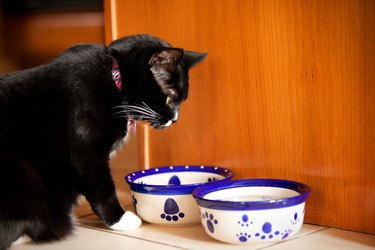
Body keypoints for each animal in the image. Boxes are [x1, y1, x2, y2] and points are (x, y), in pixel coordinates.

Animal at [0, 34, 206, 249]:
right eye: (170, 99)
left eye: (181, 101)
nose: (174, 120)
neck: (115, 79)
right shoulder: (86, 149)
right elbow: (102, 187)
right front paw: (120, 219)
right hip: (20, 167)